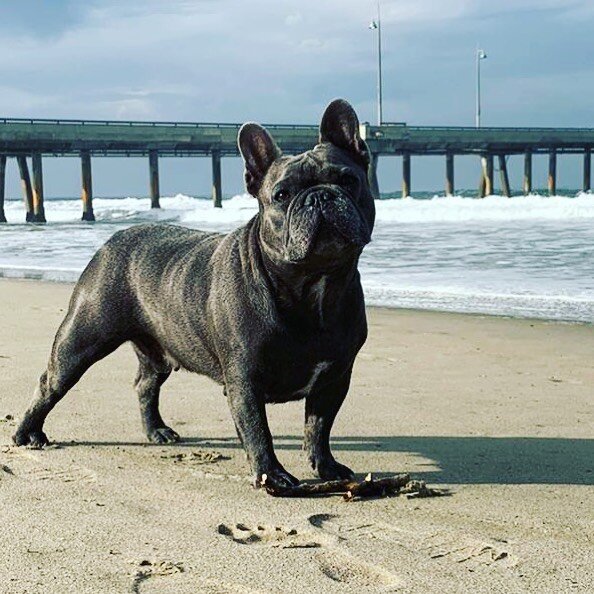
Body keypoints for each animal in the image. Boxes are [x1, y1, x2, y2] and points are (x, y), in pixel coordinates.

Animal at [13, 98, 372, 490]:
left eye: (349, 180)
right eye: (281, 195)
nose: (320, 196)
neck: (311, 285)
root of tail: (113, 239)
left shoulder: (335, 377)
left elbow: (319, 426)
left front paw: (325, 466)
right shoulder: (244, 381)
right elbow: (258, 430)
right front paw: (272, 476)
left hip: (157, 350)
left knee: (145, 385)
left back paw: (156, 431)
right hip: (81, 340)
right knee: (50, 382)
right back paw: (26, 433)